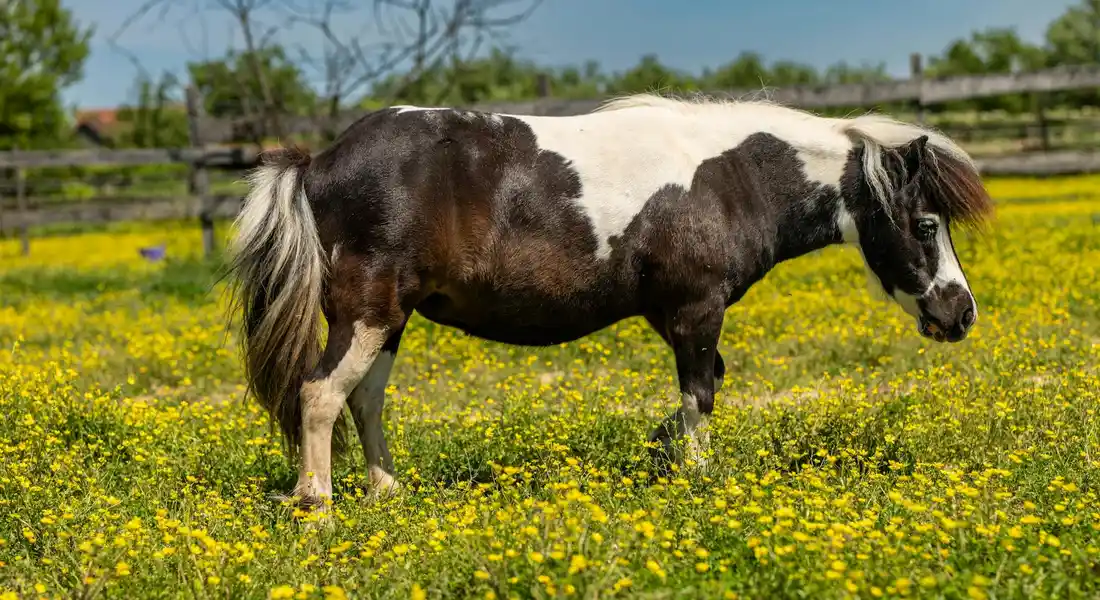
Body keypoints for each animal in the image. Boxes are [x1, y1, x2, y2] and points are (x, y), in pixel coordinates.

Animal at [225, 92, 994, 509]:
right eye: (927, 224)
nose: (961, 314)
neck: (731, 178)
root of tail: (319, 161)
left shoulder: (678, 318)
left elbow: (696, 397)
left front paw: (663, 453)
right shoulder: (696, 313)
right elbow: (700, 397)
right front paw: (695, 476)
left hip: (389, 320)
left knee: (365, 399)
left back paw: (387, 495)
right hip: (367, 313)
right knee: (320, 395)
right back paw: (318, 507)